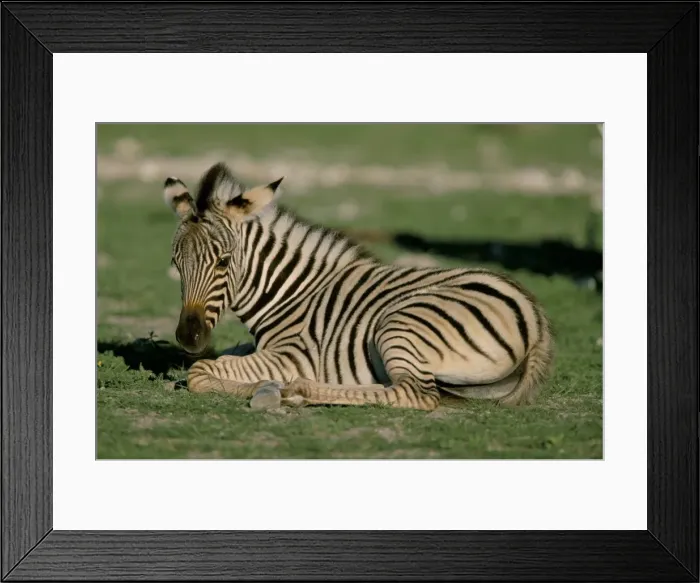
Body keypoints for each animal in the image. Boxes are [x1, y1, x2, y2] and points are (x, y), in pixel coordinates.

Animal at [163, 162, 554, 411]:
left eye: (223, 262)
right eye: (176, 265)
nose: (187, 338)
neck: (291, 294)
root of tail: (535, 319)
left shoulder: (293, 354)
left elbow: (201, 372)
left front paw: (263, 386)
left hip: (402, 325)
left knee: (416, 394)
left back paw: (296, 390)